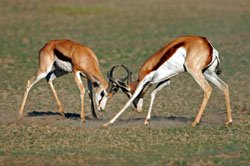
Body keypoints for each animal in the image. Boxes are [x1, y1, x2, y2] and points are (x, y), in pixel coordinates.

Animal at [103, 36, 232, 127]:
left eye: (127, 92)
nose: (138, 110)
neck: (149, 67)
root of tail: (209, 46)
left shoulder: (144, 81)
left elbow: (128, 102)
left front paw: (108, 123)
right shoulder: (165, 81)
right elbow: (153, 93)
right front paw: (147, 120)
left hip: (195, 72)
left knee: (208, 89)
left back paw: (195, 122)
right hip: (208, 73)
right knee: (224, 86)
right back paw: (229, 121)